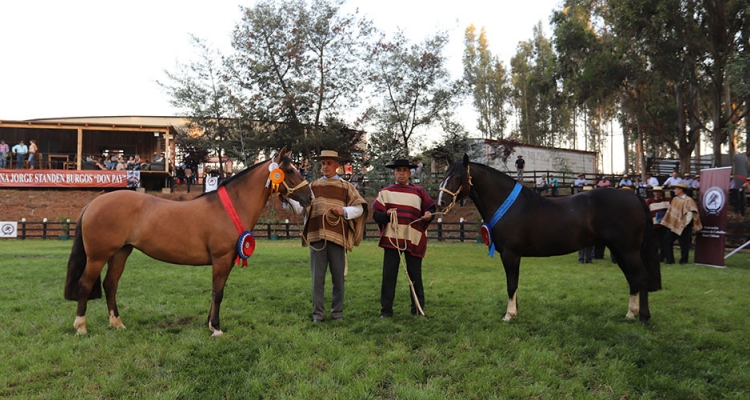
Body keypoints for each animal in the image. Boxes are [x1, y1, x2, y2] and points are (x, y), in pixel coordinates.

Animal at [63, 147, 312, 334]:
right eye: (290, 170)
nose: (309, 197)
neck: (230, 207)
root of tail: (93, 203)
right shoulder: (221, 259)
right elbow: (218, 293)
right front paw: (217, 328)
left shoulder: (227, 261)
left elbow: (216, 291)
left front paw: (210, 324)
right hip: (98, 257)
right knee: (85, 285)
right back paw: (81, 327)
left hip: (120, 253)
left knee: (110, 285)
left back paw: (117, 324)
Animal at [438, 155, 660, 324]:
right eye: (443, 175)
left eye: (457, 177)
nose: (441, 202)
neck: (507, 205)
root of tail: (633, 197)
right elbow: (514, 284)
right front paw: (515, 311)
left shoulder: (510, 254)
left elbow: (511, 284)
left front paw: (509, 315)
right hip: (618, 250)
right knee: (632, 278)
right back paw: (630, 314)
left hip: (628, 250)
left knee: (641, 277)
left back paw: (643, 317)